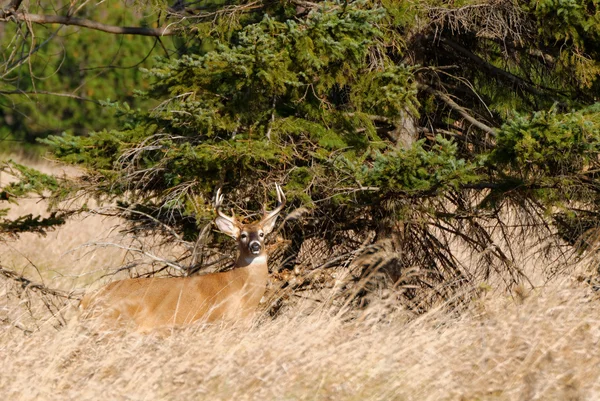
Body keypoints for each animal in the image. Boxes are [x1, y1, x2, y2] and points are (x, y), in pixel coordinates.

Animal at [80, 186, 286, 330]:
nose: (255, 246)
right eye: (242, 235)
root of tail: (87, 299)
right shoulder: (217, 320)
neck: (240, 288)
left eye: (262, 234)